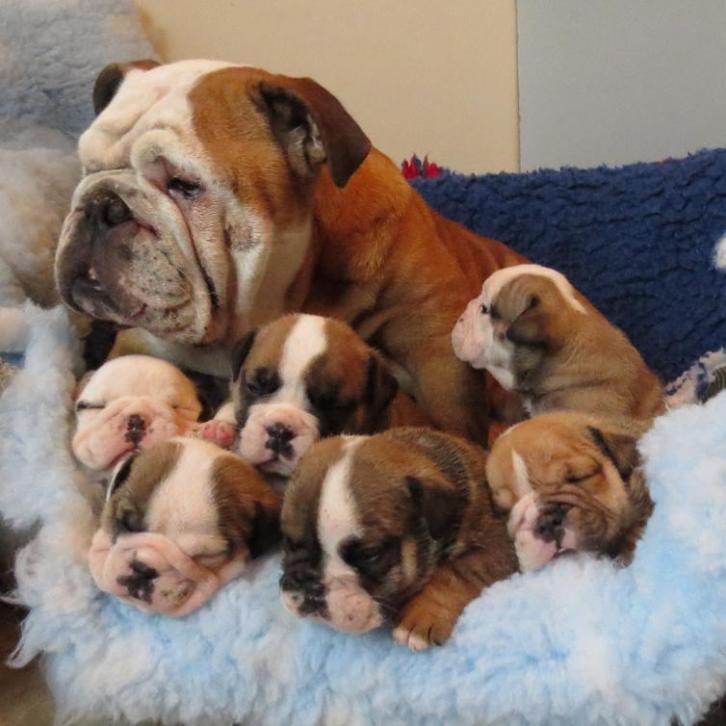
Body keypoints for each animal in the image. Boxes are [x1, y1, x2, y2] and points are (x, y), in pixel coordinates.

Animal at [54, 58, 528, 444]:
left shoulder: (435, 339)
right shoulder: (141, 341)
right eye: (88, 168)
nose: (102, 205)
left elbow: (454, 416)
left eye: (184, 185)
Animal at [282, 430, 520, 652]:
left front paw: (423, 615)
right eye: (289, 545)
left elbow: (456, 574)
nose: (310, 582)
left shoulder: (496, 546)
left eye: (370, 555)